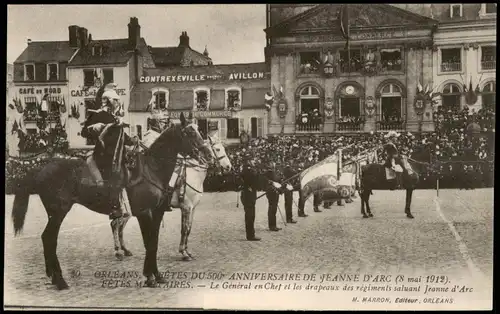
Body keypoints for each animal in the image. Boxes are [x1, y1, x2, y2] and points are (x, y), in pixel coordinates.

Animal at [11, 112, 211, 290]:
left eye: (199, 130)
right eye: (190, 132)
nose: (207, 154)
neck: (152, 169)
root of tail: (42, 167)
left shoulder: (158, 212)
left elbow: (154, 243)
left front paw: (157, 275)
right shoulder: (145, 213)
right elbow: (149, 243)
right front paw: (150, 277)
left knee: (49, 238)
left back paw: (54, 277)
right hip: (59, 211)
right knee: (49, 238)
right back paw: (60, 280)